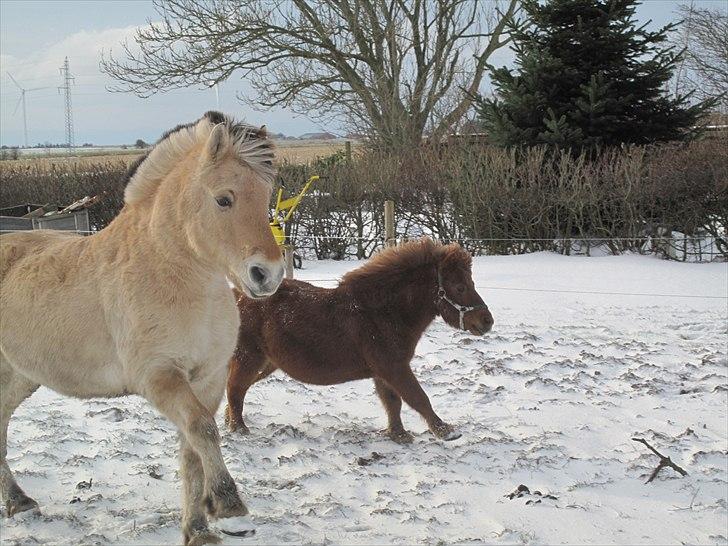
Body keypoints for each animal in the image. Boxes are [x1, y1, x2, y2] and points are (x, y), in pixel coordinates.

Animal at [0, 110, 284, 544]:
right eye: (224, 198)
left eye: (267, 197)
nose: (267, 275)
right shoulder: (159, 376)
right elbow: (203, 430)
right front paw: (228, 504)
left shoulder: (208, 379)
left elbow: (192, 448)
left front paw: (198, 528)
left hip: (21, 377)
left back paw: (19, 501)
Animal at [225, 238, 492, 442]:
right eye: (459, 287)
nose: (487, 321)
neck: (382, 312)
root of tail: (238, 297)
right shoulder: (394, 367)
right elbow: (417, 397)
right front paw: (445, 431)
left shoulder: (383, 372)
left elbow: (393, 402)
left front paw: (399, 435)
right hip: (250, 358)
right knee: (235, 389)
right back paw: (239, 429)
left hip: (267, 363)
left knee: (236, 388)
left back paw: (229, 421)